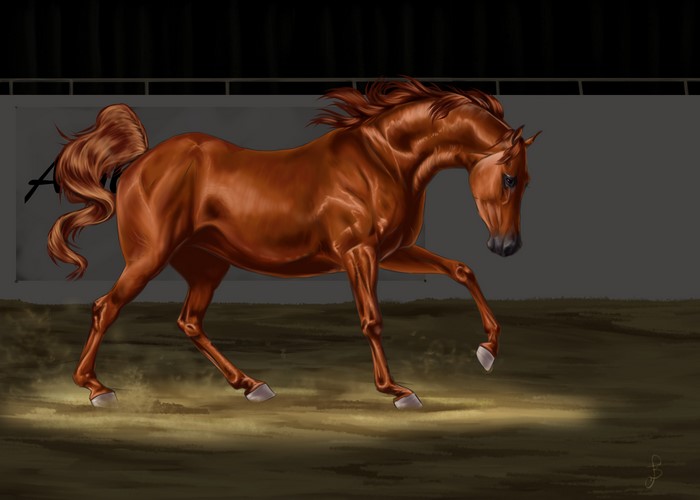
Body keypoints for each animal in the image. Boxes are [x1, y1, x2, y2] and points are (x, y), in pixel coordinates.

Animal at [48, 78, 540, 409]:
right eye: (509, 178)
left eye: (526, 180)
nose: (507, 246)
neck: (382, 161)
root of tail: (137, 163)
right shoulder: (359, 253)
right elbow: (372, 320)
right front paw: (397, 391)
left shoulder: (394, 252)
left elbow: (461, 270)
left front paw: (487, 352)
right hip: (148, 258)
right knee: (106, 308)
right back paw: (97, 389)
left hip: (206, 265)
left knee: (189, 321)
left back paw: (253, 386)